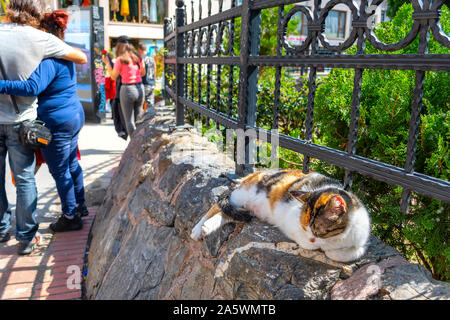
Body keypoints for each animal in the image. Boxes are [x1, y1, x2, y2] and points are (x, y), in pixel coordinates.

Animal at [190, 170, 370, 262]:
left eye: (319, 229)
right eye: (306, 227)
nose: (313, 238)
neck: (340, 238)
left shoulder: (360, 238)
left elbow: (354, 252)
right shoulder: (291, 223)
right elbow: (313, 246)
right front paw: (321, 247)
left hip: (244, 208)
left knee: (229, 213)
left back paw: (208, 227)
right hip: (241, 195)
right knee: (216, 205)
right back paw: (198, 229)